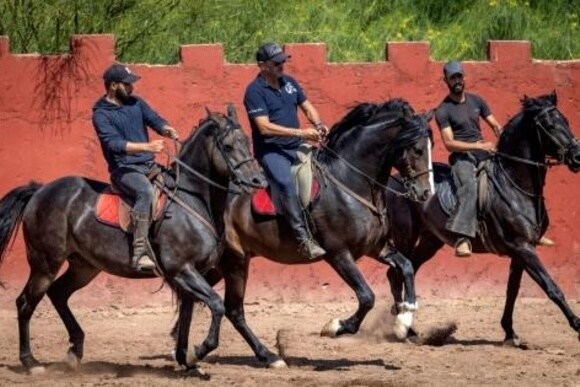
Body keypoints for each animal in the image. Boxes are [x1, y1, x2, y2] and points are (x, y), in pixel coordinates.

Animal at [0, 104, 268, 374]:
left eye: (247, 141)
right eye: (228, 146)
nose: (259, 181)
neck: (193, 201)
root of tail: (40, 191)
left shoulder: (192, 274)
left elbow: (187, 315)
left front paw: (185, 359)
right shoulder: (182, 270)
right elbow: (217, 305)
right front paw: (197, 352)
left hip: (83, 267)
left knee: (58, 294)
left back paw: (75, 350)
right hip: (45, 264)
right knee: (25, 303)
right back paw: (30, 362)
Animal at [174, 98, 438, 368]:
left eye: (432, 146)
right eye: (417, 149)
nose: (426, 193)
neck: (351, 182)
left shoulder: (377, 247)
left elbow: (406, 267)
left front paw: (404, 320)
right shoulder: (338, 254)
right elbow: (367, 297)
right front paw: (335, 326)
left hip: (225, 262)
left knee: (205, 301)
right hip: (232, 261)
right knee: (229, 308)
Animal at [386, 92, 580, 344]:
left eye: (565, 120)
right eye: (549, 125)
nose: (577, 156)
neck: (514, 185)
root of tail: (395, 182)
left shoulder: (520, 251)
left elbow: (512, 290)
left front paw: (509, 332)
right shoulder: (524, 247)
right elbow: (551, 287)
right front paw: (577, 324)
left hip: (430, 241)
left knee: (408, 270)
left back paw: (410, 327)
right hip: (405, 237)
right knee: (396, 273)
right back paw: (404, 327)